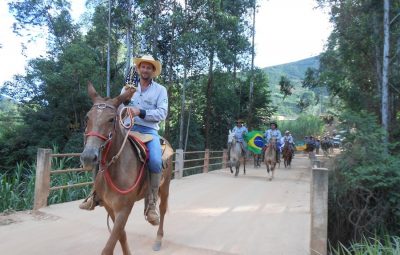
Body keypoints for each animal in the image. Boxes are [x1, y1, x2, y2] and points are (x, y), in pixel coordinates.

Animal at [80, 82, 173, 254]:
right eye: (87, 118)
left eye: (111, 119)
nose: (88, 157)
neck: (115, 169)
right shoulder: (109, 206)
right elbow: (121, 235)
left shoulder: (124, 208)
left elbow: (109, 246)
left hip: (165, 186)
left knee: (162, 209)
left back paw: (158, 238)